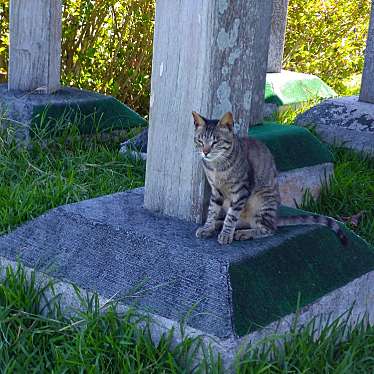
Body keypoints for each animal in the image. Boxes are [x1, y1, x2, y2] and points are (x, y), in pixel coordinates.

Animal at [193, 110, 348, 245]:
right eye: (200, 141)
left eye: (215, 142)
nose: (205, 152)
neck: (216, 167)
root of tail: (275, 218)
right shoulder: (216, 191)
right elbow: (212, 211)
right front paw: (208, 227)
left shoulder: (241, 190)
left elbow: (231, 217)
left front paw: (226, 234)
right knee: (242, 221)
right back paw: (218, 225)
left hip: (263, 199)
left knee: (267, 229)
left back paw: (243, 233)